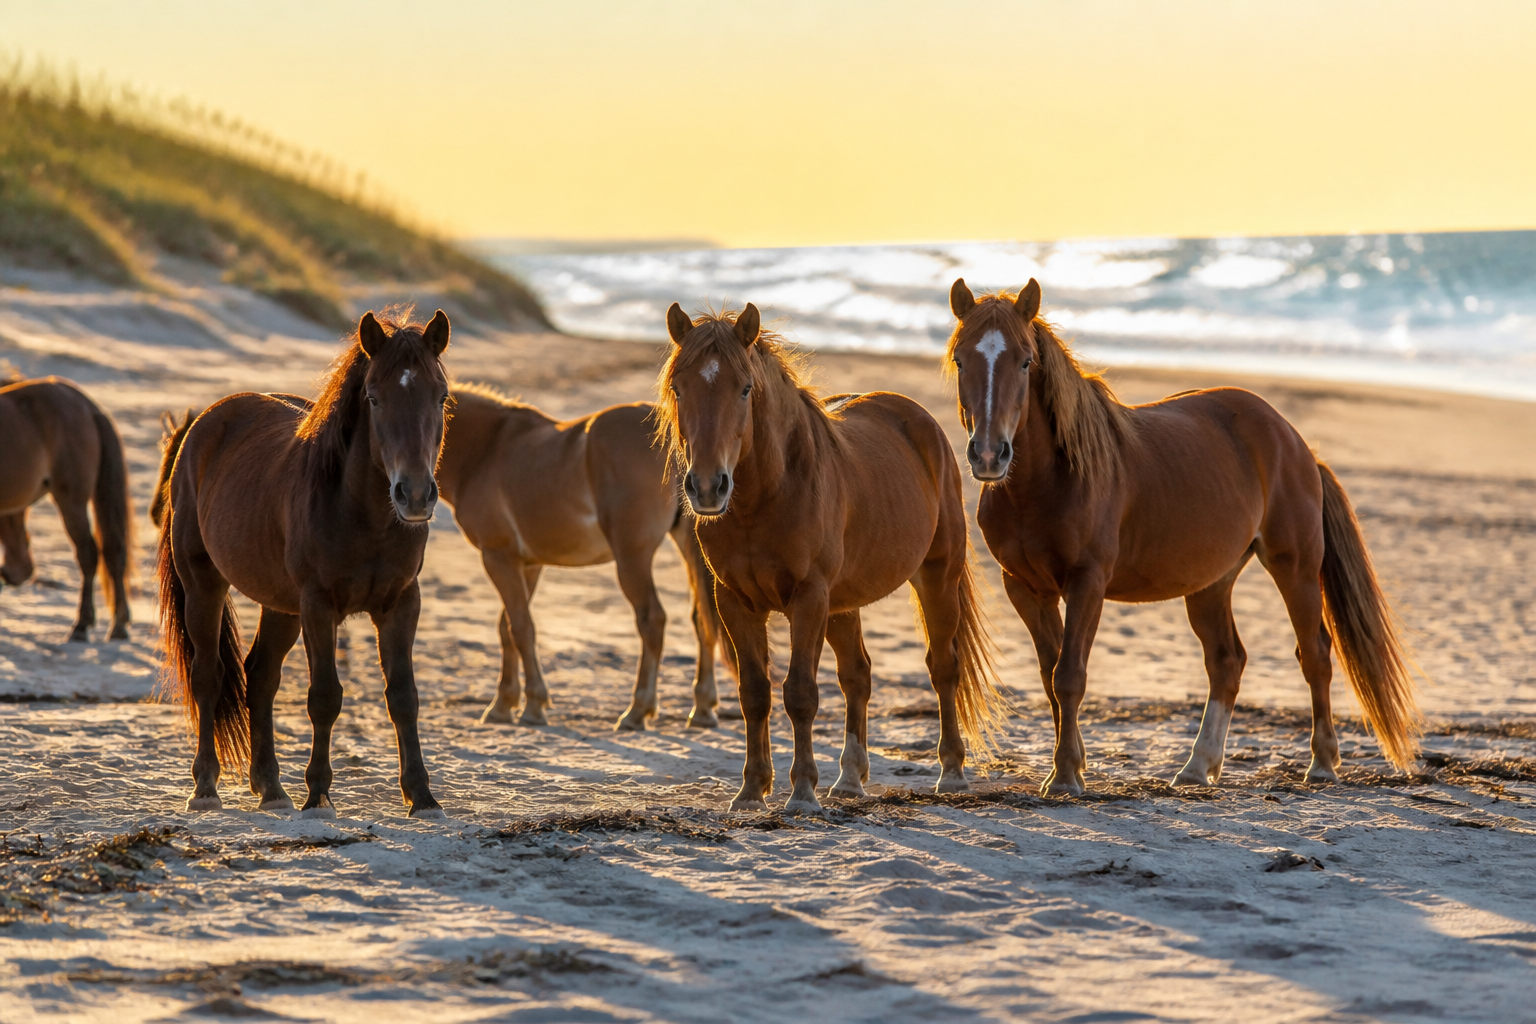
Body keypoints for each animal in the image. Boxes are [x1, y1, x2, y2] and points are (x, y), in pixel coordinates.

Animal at [0, 376, 132, 641]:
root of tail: (87, 405)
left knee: (88, 554)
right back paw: (118, 624)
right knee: (114, 552)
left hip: (71, 500)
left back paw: (83, 624)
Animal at [155, 309, 452, 818]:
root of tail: (200, 426)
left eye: (441, 396)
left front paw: (422, 796)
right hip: (203, 585)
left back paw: (272, 789)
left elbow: (403, 697)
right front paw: (319, 795)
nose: (414, 496)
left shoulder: (400, 604)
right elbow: (325, 697)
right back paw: (206, 787)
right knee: (208, 675)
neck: (362, 514)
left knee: (260, 677)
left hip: (280, 605)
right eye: (374, 398)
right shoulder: (318, 605)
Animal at [437, 387, 730, 731]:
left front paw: (533, 705)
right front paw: (503, 704)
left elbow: (521, 628)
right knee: (703, 619)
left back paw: (637, 710)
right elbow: (507, 628)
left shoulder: (498, 557)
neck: (486, 449)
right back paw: (702, 708)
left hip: (631, 558)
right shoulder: (527, 564)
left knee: (652, 621)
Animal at [657, 303, 1008, 813]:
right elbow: (754, 693)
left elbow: (800, 693)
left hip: (936, 578)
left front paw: (802, 791)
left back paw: (951, 773)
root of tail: (916, 418)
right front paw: (751, 790)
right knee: (857, 675)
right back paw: (849, 778)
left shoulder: (809, 598)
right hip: (843, 603)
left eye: (744, 389)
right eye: (679, 388)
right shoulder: (735, 601)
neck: (766, 496)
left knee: (944, 668)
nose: (707, 487)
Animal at [946, 278, 1422, 795]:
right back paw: (1197, 766)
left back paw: (1321, 763)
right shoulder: (1025, 587)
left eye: (1025, 361)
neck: (1048, 482)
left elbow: (1069, 675)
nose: (989, 454)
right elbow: (1050, 677)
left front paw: (1068, 775)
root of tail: (1295, 442)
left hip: (1294, 566)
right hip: (1211, 582)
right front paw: (1068, 766)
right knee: (1226, 661)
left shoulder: (1087, 582)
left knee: (1314, 653)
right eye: (961, 360)